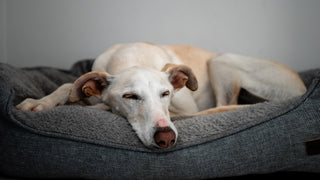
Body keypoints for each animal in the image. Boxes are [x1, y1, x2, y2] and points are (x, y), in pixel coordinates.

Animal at [16, 42, 306, 149]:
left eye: (165, 93)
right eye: (130, 96)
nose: (166, 138)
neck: (132, 57)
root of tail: (302, 88)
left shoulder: (186, 110)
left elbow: (99, 106)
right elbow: (68, 86)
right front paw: (39, 103)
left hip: (221, 61)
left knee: (227, 103)